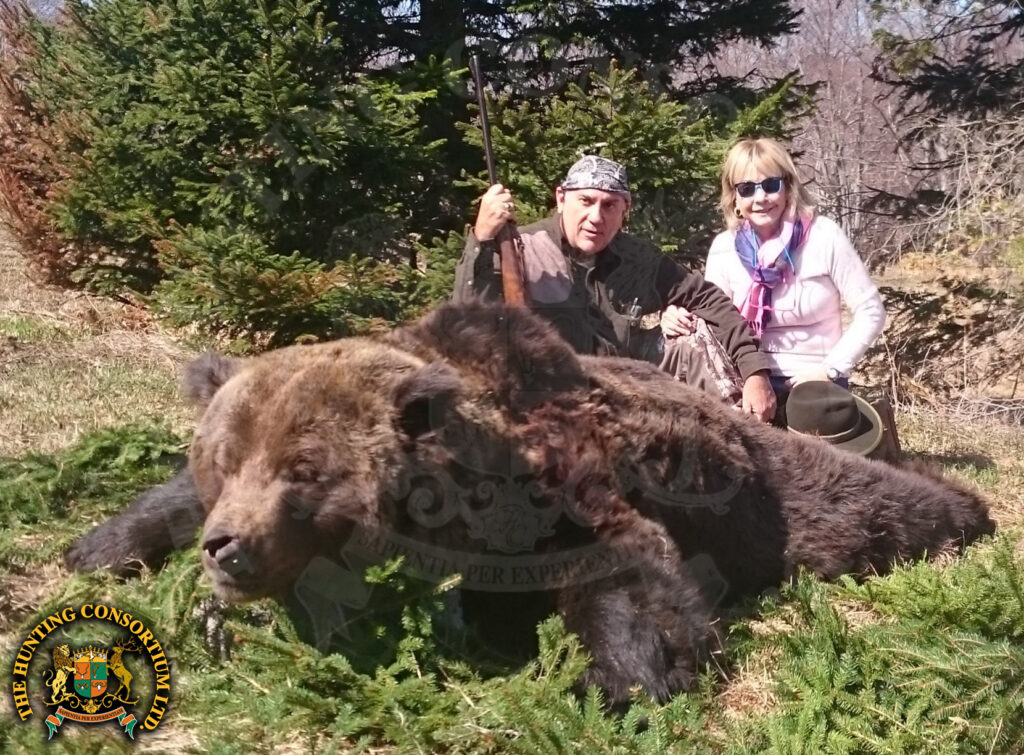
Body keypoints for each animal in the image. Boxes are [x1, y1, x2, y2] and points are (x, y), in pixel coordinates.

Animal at [66, 300, 995, 706]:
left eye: (304, 469)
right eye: (225, 461)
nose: (228, 546)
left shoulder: (557, 483)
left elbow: (625, 569)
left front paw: (627, 675)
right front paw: (99, 545)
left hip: (772, 493)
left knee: (868, 507)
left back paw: (967, 510)